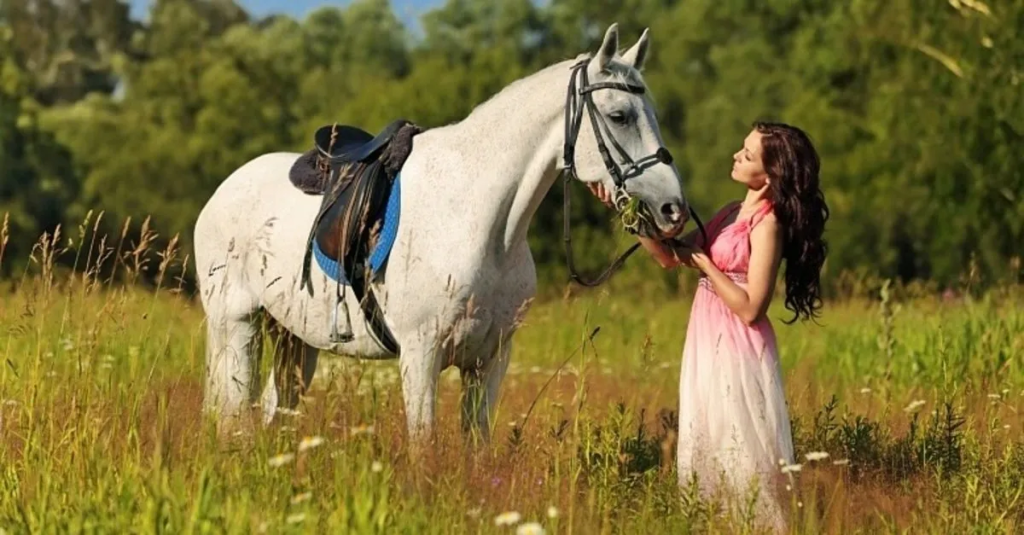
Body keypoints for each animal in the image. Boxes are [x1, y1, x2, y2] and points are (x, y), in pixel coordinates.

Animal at [190, 23, 696, 440]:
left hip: (294, 340)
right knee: (233, 414)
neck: (481, 222)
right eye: (619, 115)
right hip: (236, 326)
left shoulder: (490, 360)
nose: (673, 209)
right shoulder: (421, 355)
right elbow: (424, 445)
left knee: (272, 413)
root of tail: (221, 193)